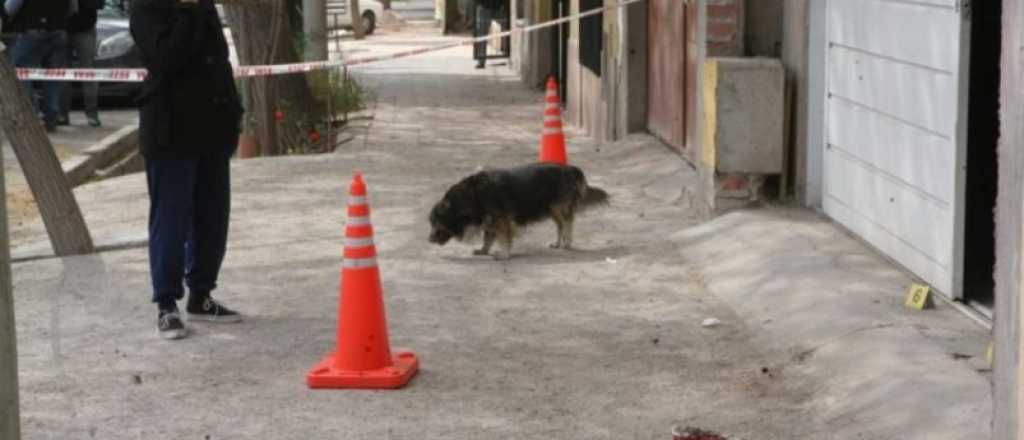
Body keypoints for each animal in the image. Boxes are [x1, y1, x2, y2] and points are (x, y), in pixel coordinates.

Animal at [425, 162, 602, 257]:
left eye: (437, 222)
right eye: (432, 223)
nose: (429, 239)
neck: (472, 195)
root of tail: (571, 169)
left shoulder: (501, 219)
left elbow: (503, 238)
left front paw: (504, 254)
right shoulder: (490, 220)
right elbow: (487, 238)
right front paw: (483, 250)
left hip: (559, 208)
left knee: (567, 224)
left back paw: (566, 243)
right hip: (552, 209)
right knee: (560, 225)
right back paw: (558, 243)